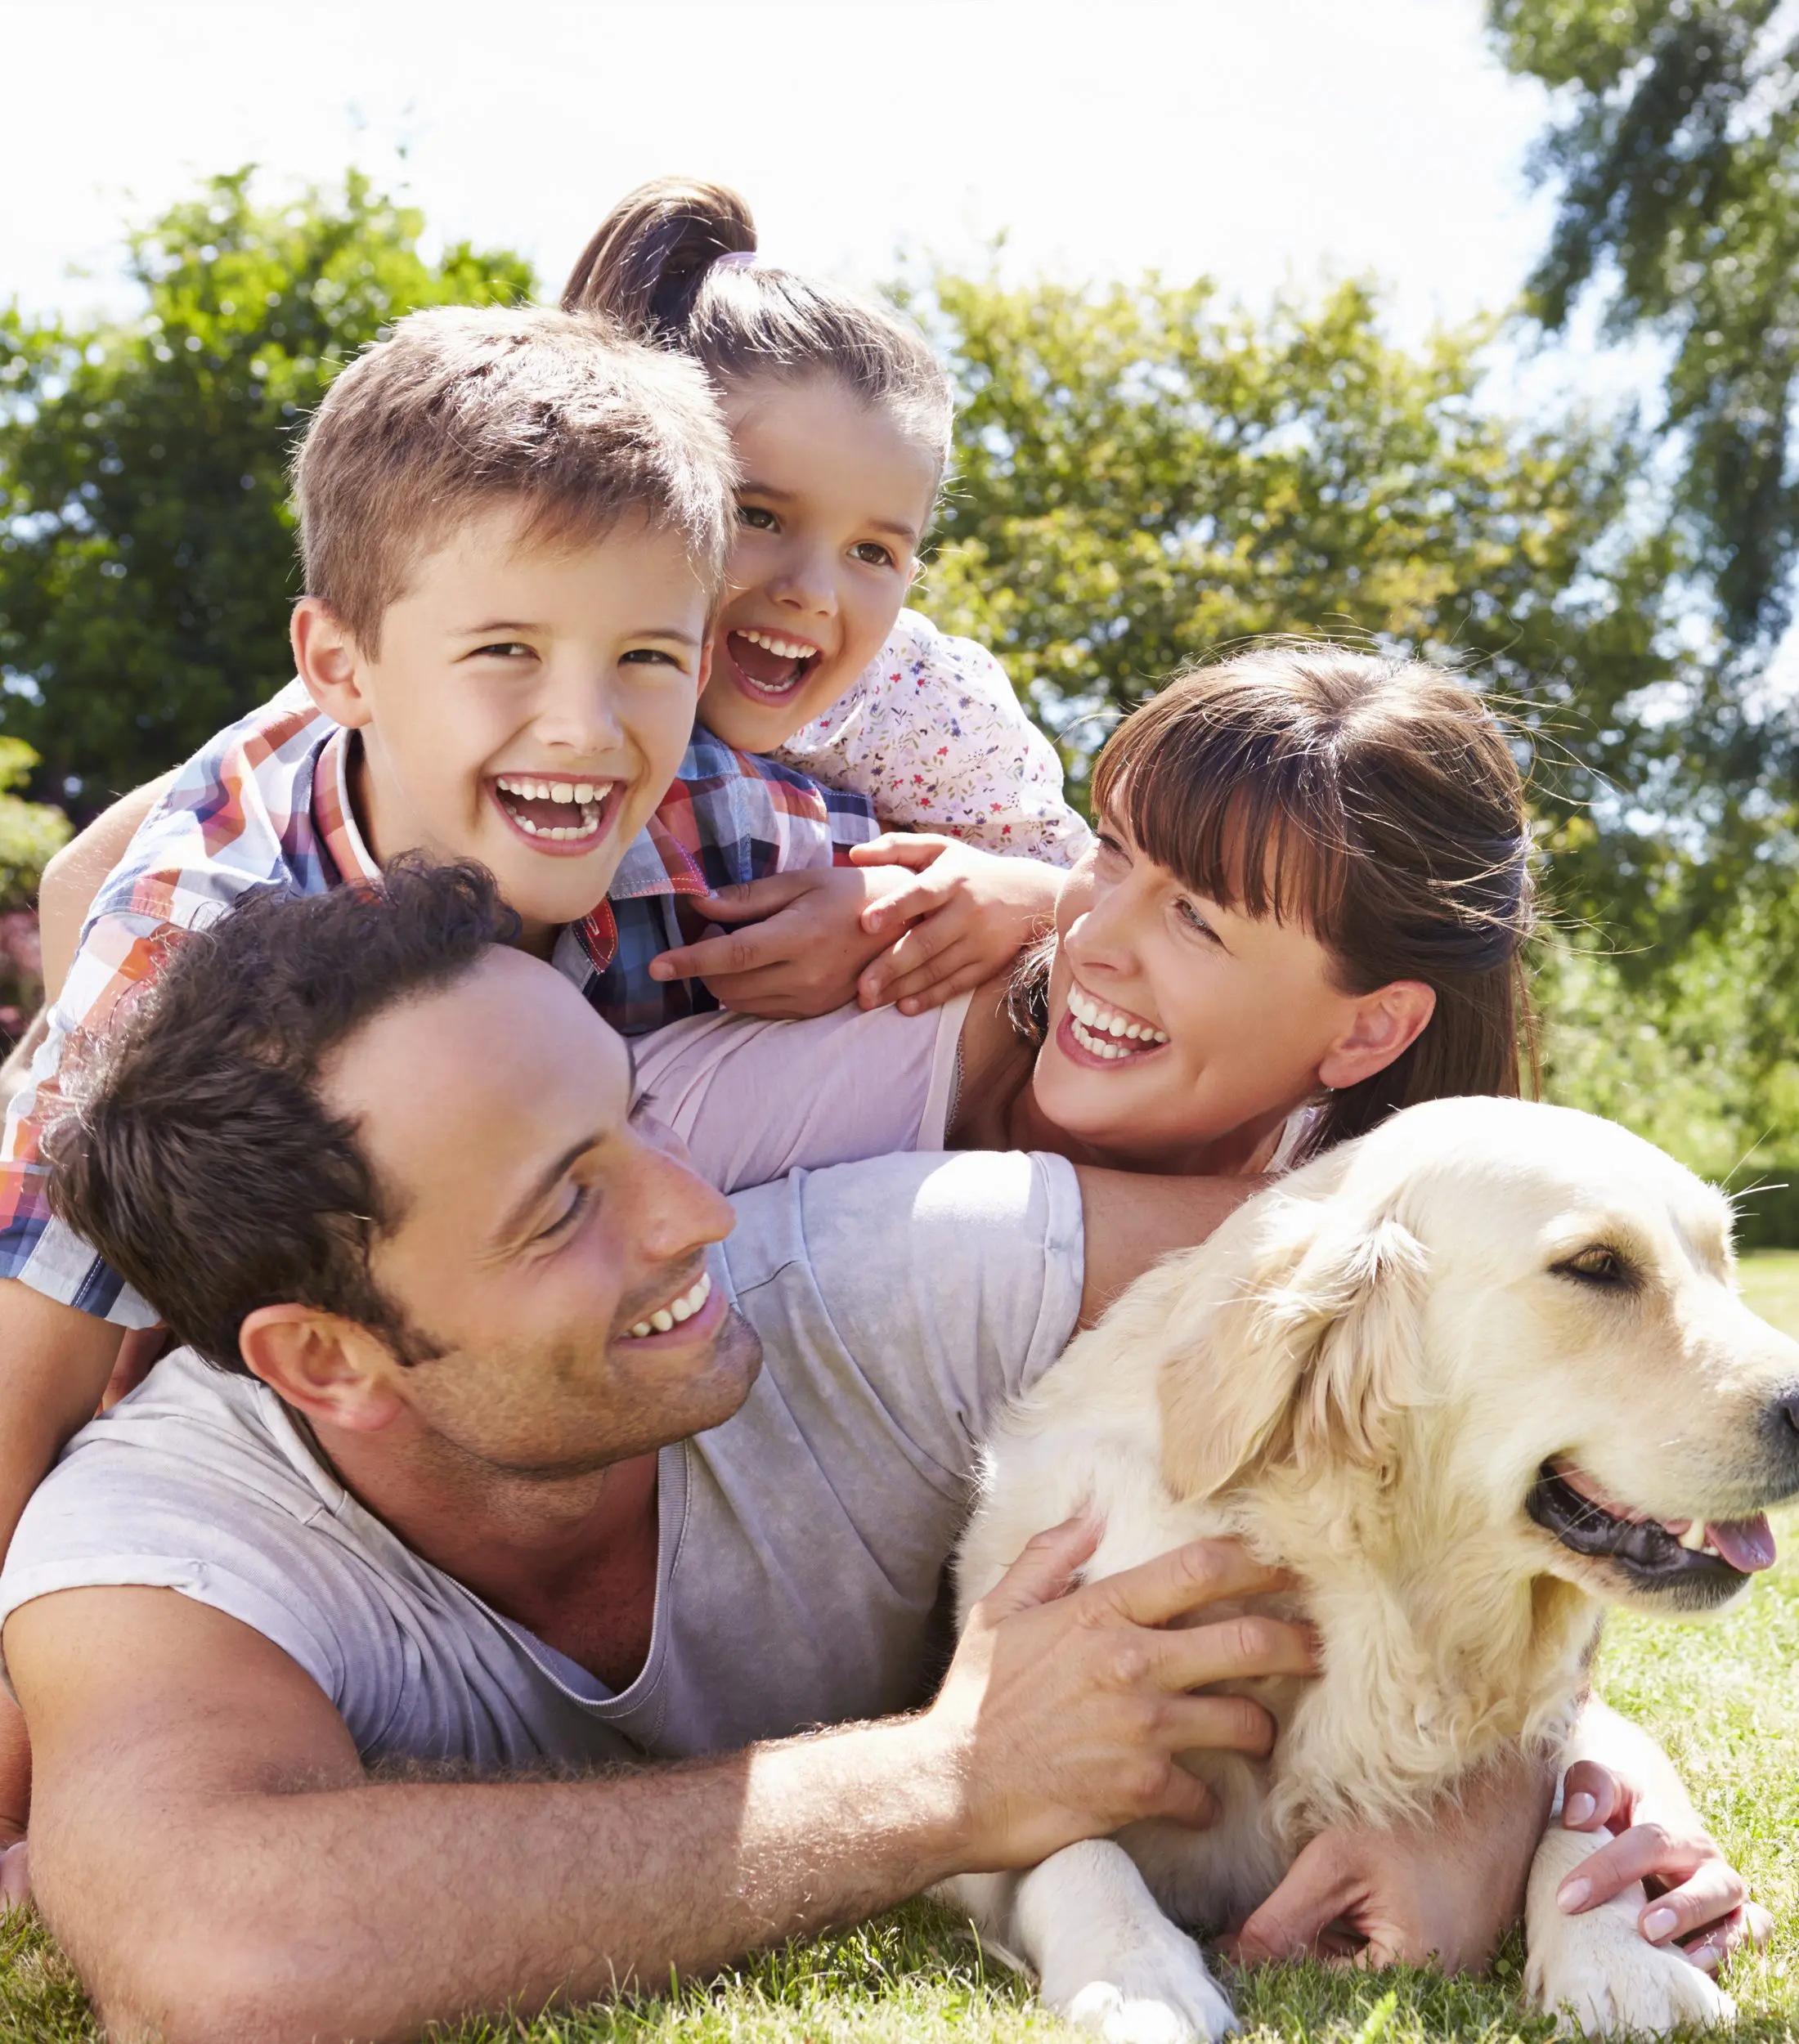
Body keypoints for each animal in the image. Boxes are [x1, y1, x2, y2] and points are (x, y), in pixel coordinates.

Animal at [949, 1104, 1791, 2044]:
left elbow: (1582, 1805)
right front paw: (1137, 1977)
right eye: (1595, 1266)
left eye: (1722, 1262)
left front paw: (1621, 1960)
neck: (1374, 1600)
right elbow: (1069, 1839)